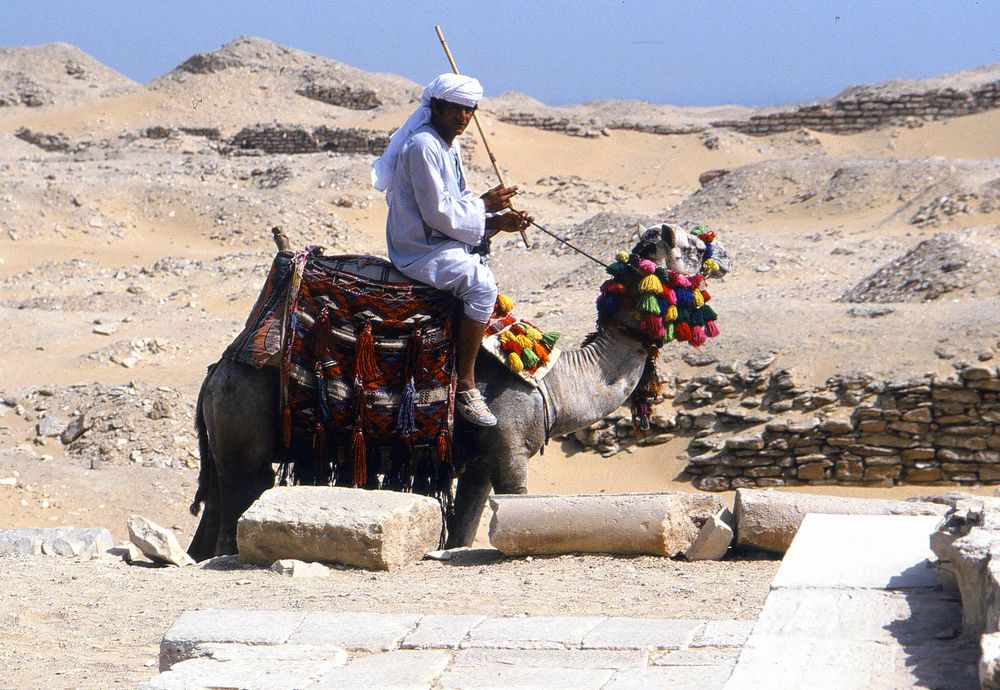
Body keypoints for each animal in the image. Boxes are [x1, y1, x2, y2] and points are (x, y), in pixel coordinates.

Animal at [188, 223, 732, 560]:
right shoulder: (510, 451)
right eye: (690, 245)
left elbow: (466, 527)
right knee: (232, 517)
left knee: (210, 520)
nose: (722, 253)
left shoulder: (480, 464)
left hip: (225, 436)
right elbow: (517, 505)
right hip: (245, 427)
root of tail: (218, 368)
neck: (552, 383)